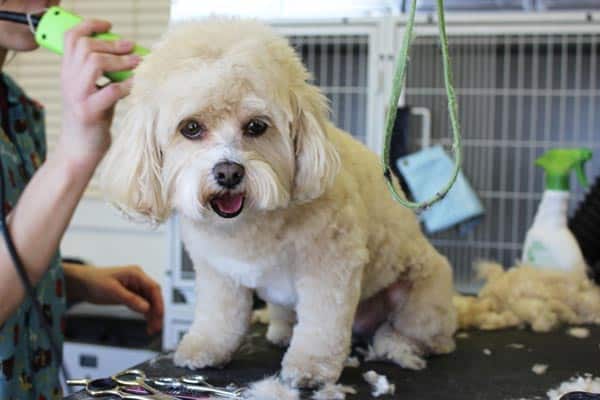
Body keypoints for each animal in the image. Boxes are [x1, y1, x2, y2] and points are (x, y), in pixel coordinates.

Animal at [101, 16, 458, 388]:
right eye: (191, 128)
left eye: (256, 126)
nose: (229, 173)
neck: (248, 224)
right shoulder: (217, 271)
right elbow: (219, 316)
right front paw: (205, 348)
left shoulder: (331, 266)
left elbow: (321, 324)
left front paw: (311, 367)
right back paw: (283, 330)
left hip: (421, 295)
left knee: (428, 335)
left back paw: (397, 343)